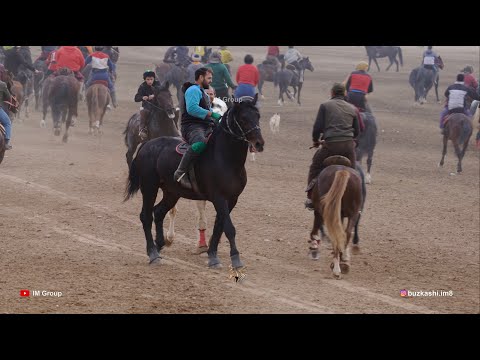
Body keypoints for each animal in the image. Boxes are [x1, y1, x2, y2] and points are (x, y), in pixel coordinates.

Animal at [124, 95, 264, 278]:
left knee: (159, 212)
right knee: (146, 216)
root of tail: (146, 145)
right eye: (243, 118)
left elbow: (219, 227)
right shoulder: (219, 198)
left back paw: (160, 244)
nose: (259, 143)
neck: (225, 158)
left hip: (172, 192)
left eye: (258, 116)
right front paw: (235, 260)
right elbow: (229, 228)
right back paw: (153, 253)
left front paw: (212, 256)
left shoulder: (232, 199)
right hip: (149, 187)